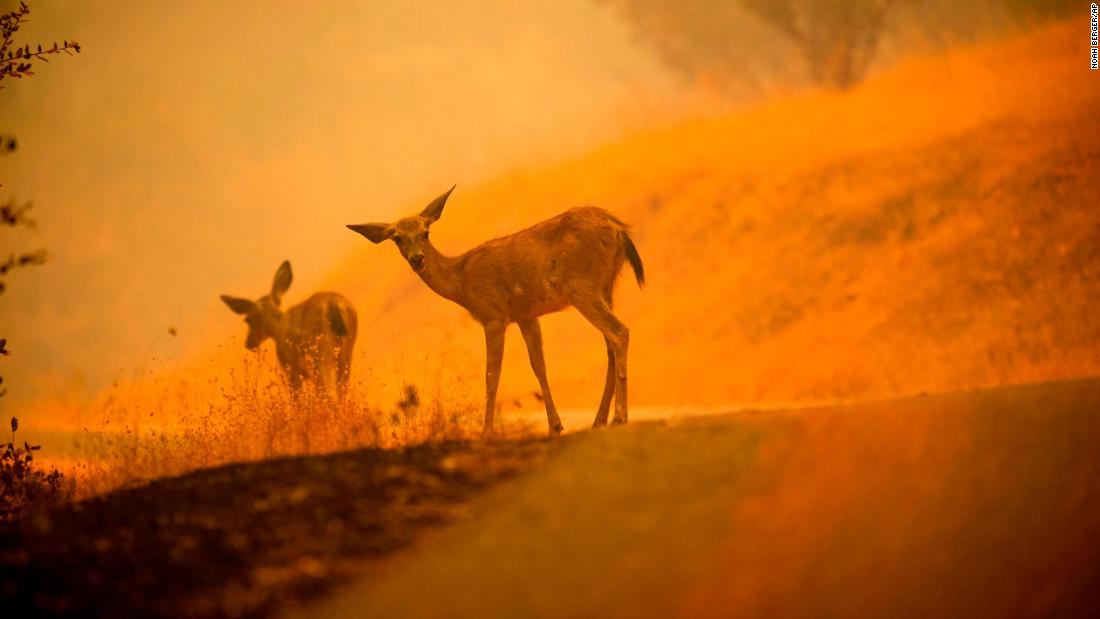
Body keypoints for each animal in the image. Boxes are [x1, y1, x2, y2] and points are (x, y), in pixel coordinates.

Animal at [221, 261, 358, 398]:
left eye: (248, 319)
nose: (249, 343)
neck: (278, 328)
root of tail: (334, 305)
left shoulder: (290, 368)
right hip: (345, 356)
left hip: (319, 356)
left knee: (326, 391)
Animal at [347, 189, 642, 435]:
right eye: (397, 238)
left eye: (425, 232)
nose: (417, 259)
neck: (461, 281)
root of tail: (617, 228)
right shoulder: (525, 314)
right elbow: (539, 365)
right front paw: (555, 425)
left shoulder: (493, 314)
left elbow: (491, 376)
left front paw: (486, 432)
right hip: (606, 286)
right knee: (610, 344)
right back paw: (600, 420)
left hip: (581, 285)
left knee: (619, 332)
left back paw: (619, 417)